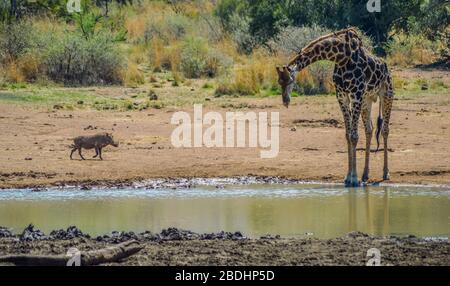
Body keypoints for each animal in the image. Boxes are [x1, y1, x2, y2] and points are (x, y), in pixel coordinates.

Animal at [276, 27, 396, 187]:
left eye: (290, 80)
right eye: (279, 82)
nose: (285, 101)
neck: (340, 57)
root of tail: (386, 67)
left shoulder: (356, 94)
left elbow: (354, 136)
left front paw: (354, 179)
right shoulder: (342, 96)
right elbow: (348, 135)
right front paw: (348, 177)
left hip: (387, 94)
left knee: (385, 130)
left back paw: (386, 173)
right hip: (367, 99)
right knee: (369, 129)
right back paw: (365, 174)